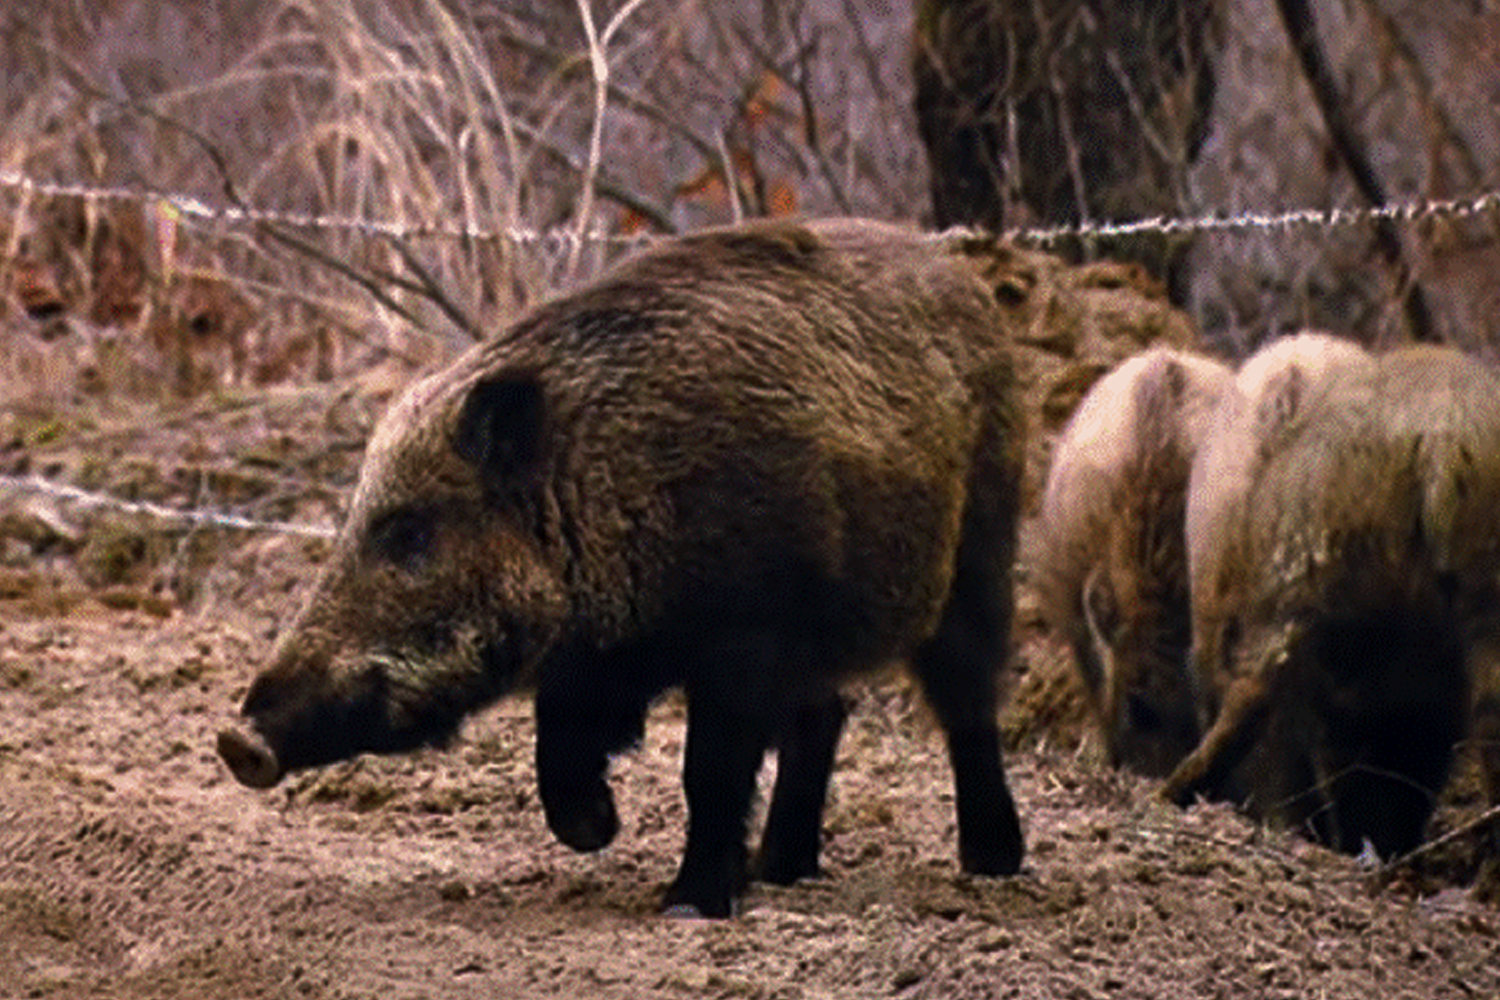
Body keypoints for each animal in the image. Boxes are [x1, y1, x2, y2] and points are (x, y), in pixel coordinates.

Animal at [217, 217, 1027, 917]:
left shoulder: (743, 637)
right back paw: (781, 871)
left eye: (410, 532)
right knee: (824, 714)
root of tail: (961, 275)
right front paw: (597, 832)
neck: (600, 489)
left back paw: (993, 864)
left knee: (965, 696)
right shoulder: (601, 656)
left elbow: (710, 769)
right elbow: (558, 744)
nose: (238, 741)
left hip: (979, 549)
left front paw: (688, 906)